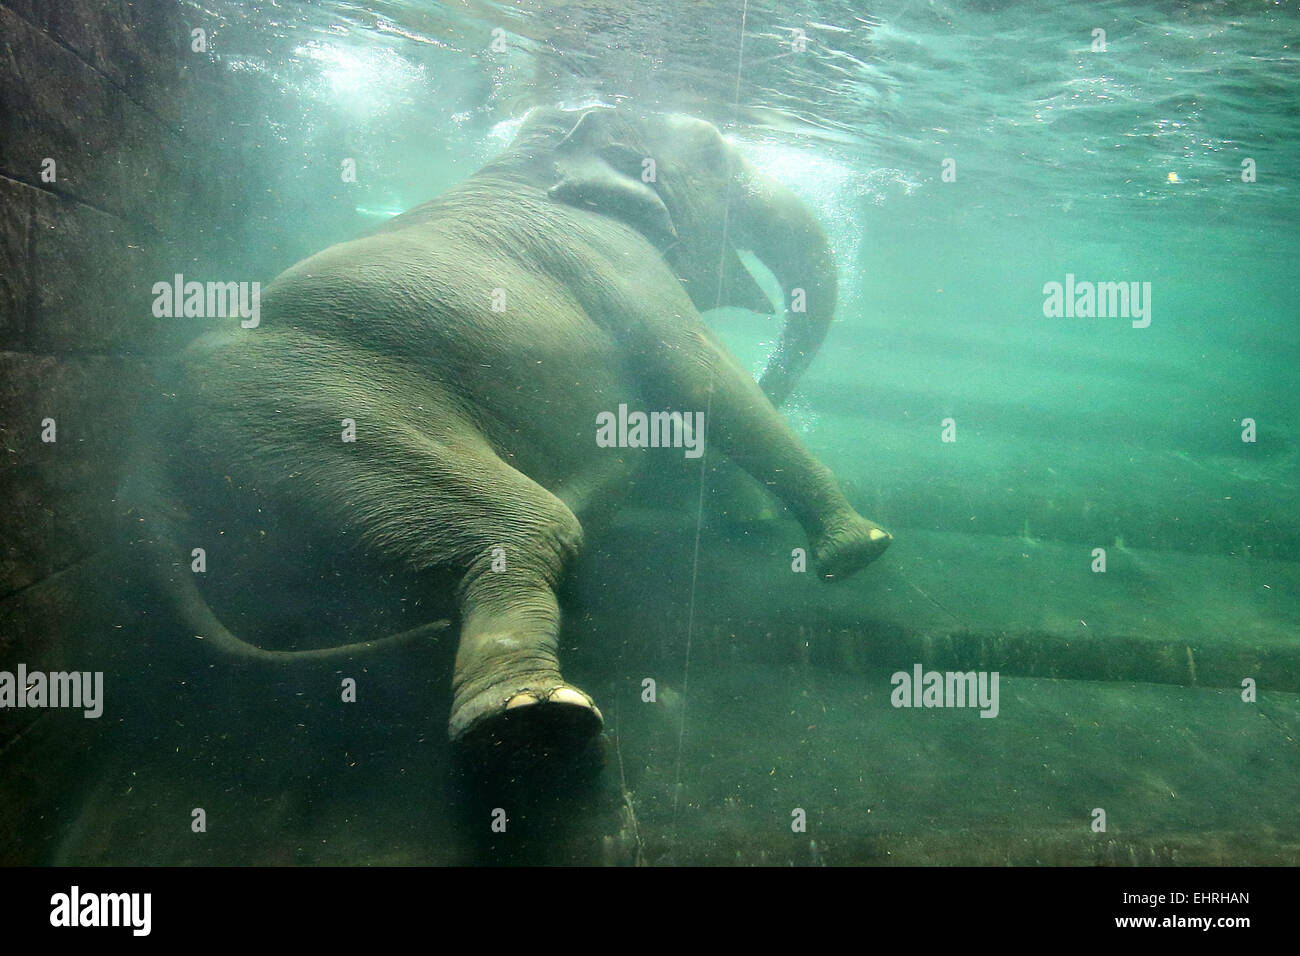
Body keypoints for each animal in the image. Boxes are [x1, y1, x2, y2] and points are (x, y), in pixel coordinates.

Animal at [126, 106, 889, 764]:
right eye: (711, 154)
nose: (779, 375)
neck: (538, 151)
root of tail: (147, 475)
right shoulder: (626, 267)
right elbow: (704, 383)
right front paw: (861, 551)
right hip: (322, 419)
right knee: (532, 529)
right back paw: (531, 719)